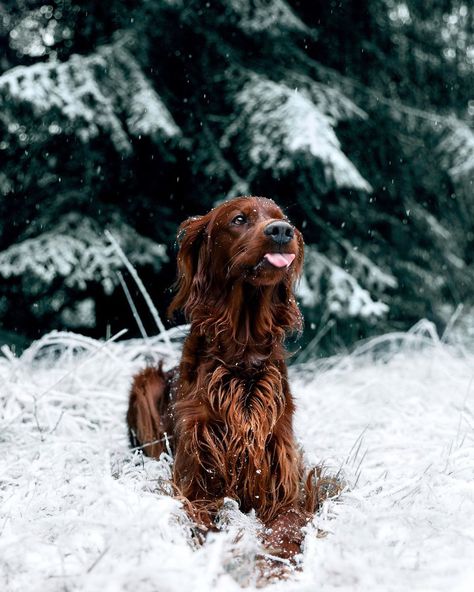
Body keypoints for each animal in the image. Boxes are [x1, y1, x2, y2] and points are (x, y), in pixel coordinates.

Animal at [126, 198, 322, 560]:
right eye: (239, 219)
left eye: (282, 218)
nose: (281, 231)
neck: (241, 352)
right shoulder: (194, 483)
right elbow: (202, 524)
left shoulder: (286, 488)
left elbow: (284, 527)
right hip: (145, 382)